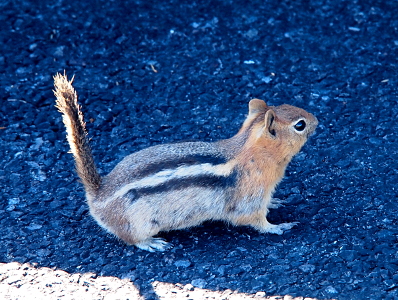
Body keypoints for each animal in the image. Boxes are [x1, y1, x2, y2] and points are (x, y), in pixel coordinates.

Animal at [54, 74, 318, 252]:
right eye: (300, 125)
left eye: (285, 105)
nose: (316, 120)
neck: (249, 150)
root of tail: (98, 193)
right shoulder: (249, 200)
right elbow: (255, 220)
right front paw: (279, 227)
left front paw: (275, 202)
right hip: (137, 222)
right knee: (130, 238)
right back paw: (151, 244)